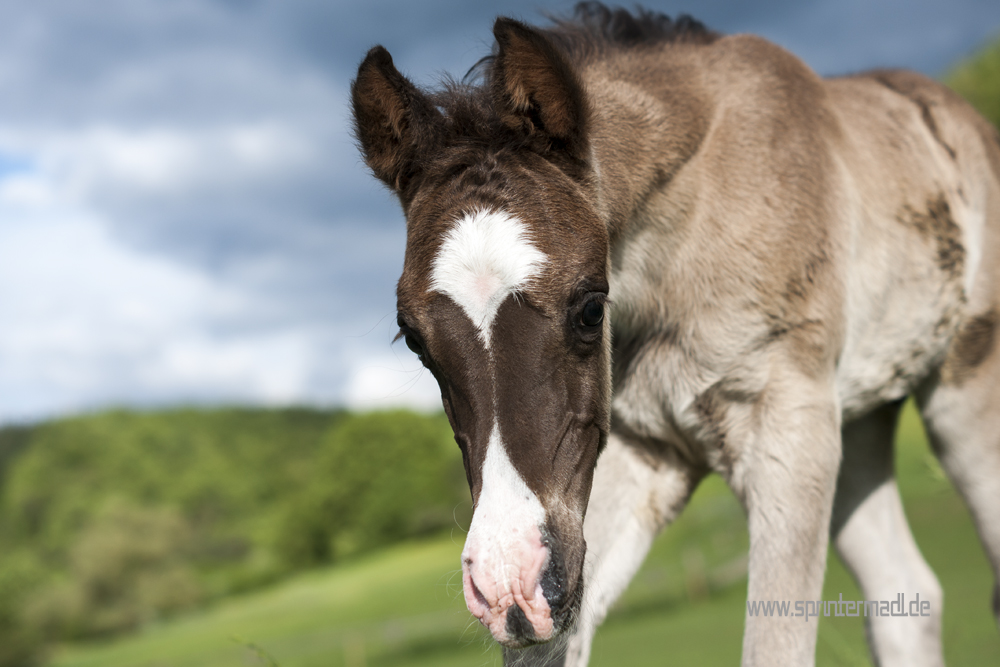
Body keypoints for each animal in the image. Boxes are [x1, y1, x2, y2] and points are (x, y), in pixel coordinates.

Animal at [352, 5, 1000, 667]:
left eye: (591, 308)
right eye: (413, 340)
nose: (509, 582)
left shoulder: (788, 432)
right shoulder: (634, 457)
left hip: (964, 390)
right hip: (857, 420)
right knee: (904, 592)